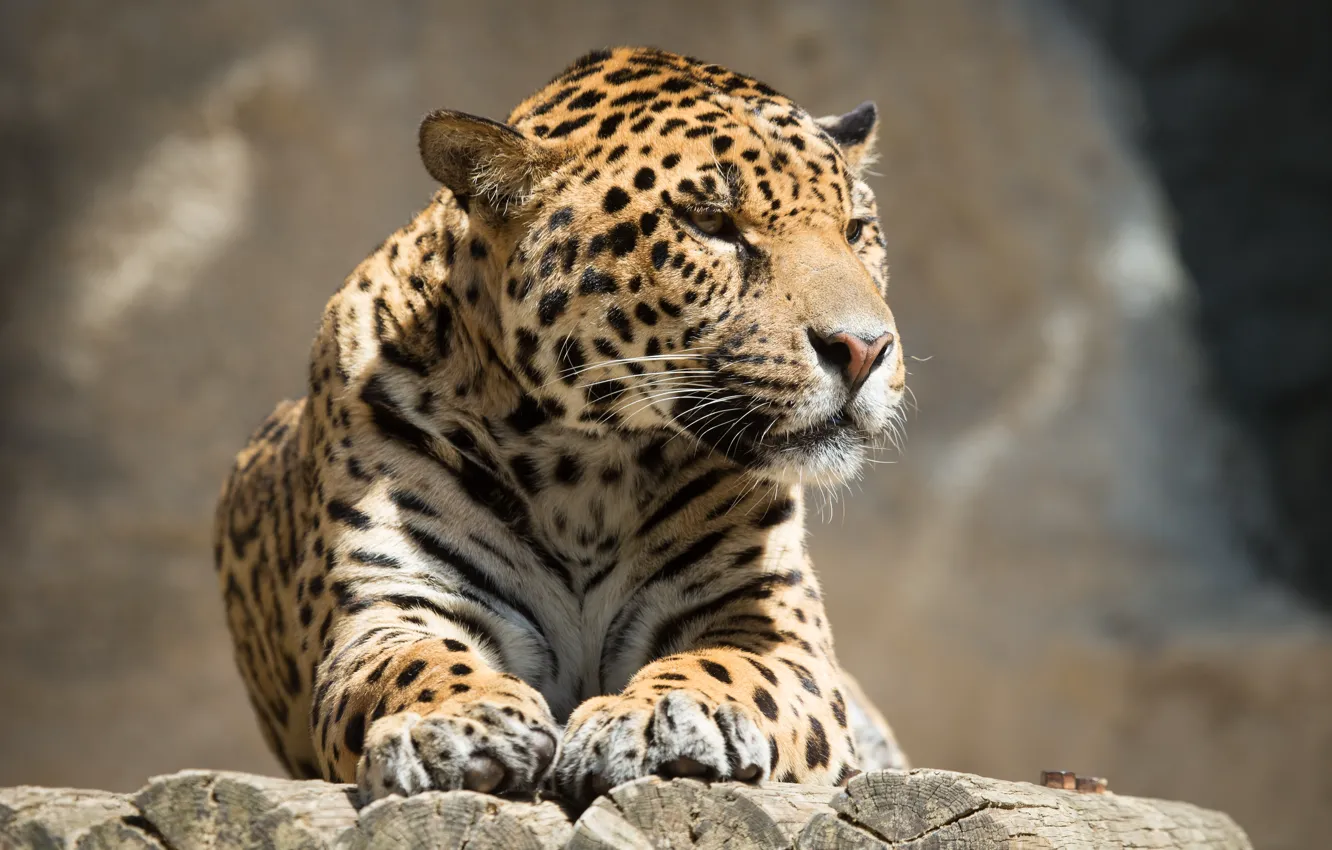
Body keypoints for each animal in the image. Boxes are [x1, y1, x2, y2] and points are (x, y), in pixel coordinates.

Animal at [214, 46, 909, 808]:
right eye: (711, 223)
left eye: (856, 231)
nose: (865, 349)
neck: (586, 466)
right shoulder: (389, 607)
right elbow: (412, 664)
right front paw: (455, 723)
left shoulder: (769, 623)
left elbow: (726, 665)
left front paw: (660, 718)